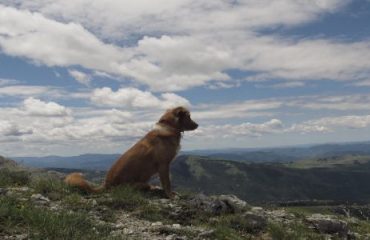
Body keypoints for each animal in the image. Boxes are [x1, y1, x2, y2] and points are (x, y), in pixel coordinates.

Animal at [66, 106, 199, 198]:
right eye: (189, 116)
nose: (198, 125)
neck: (169, 127)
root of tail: (106, 185)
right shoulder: (164, 165)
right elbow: (167, 183)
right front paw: (170, 195)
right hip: (139, 184)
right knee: (146, 187)